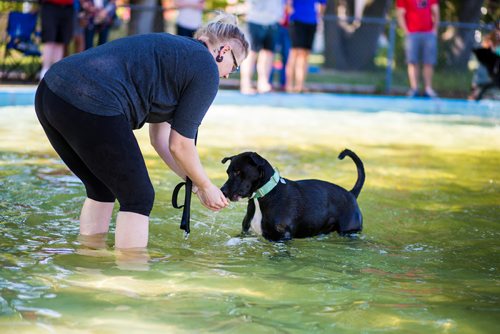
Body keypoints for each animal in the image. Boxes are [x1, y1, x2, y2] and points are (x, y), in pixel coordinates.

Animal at [221, 150, 366, 241]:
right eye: (228, 172)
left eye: (238, 172)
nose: (222, 191)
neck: (265, 194)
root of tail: (351, 193)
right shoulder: (246, 232)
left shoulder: (281, 237)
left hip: (349, 231)